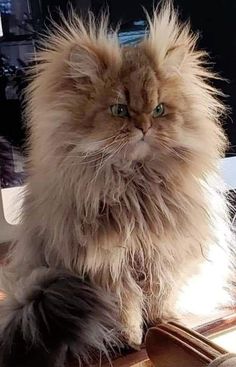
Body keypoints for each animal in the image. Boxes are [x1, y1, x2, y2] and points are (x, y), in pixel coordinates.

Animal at [0, 2, 232, 367]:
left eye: (159, 109)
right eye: (120, 110)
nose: (144, 126)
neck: (135, 184)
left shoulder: (162, 255)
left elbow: (160, 297)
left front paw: (165, 325)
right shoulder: (107, 266)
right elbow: (126, 308)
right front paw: (132, 340)